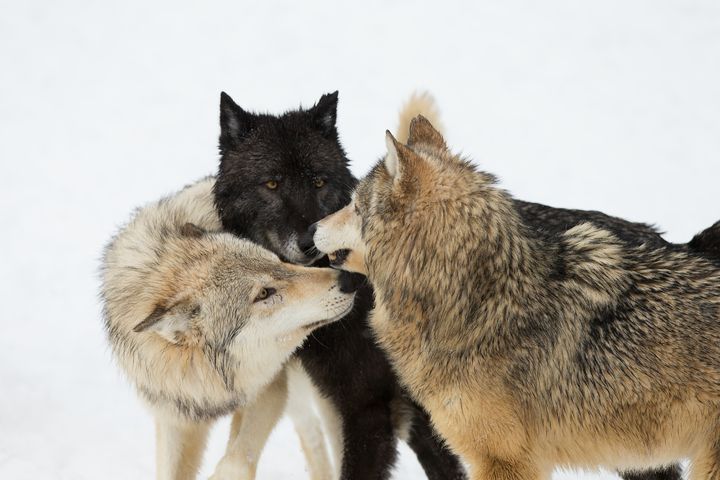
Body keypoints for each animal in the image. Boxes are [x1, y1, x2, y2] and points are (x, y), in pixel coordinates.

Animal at [99, 177, 354, 480]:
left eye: (279, 262)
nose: (348, 280)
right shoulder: (176, 419)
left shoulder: (270, 389)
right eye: (264, 293)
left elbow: (236, 461)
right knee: (311, 432)